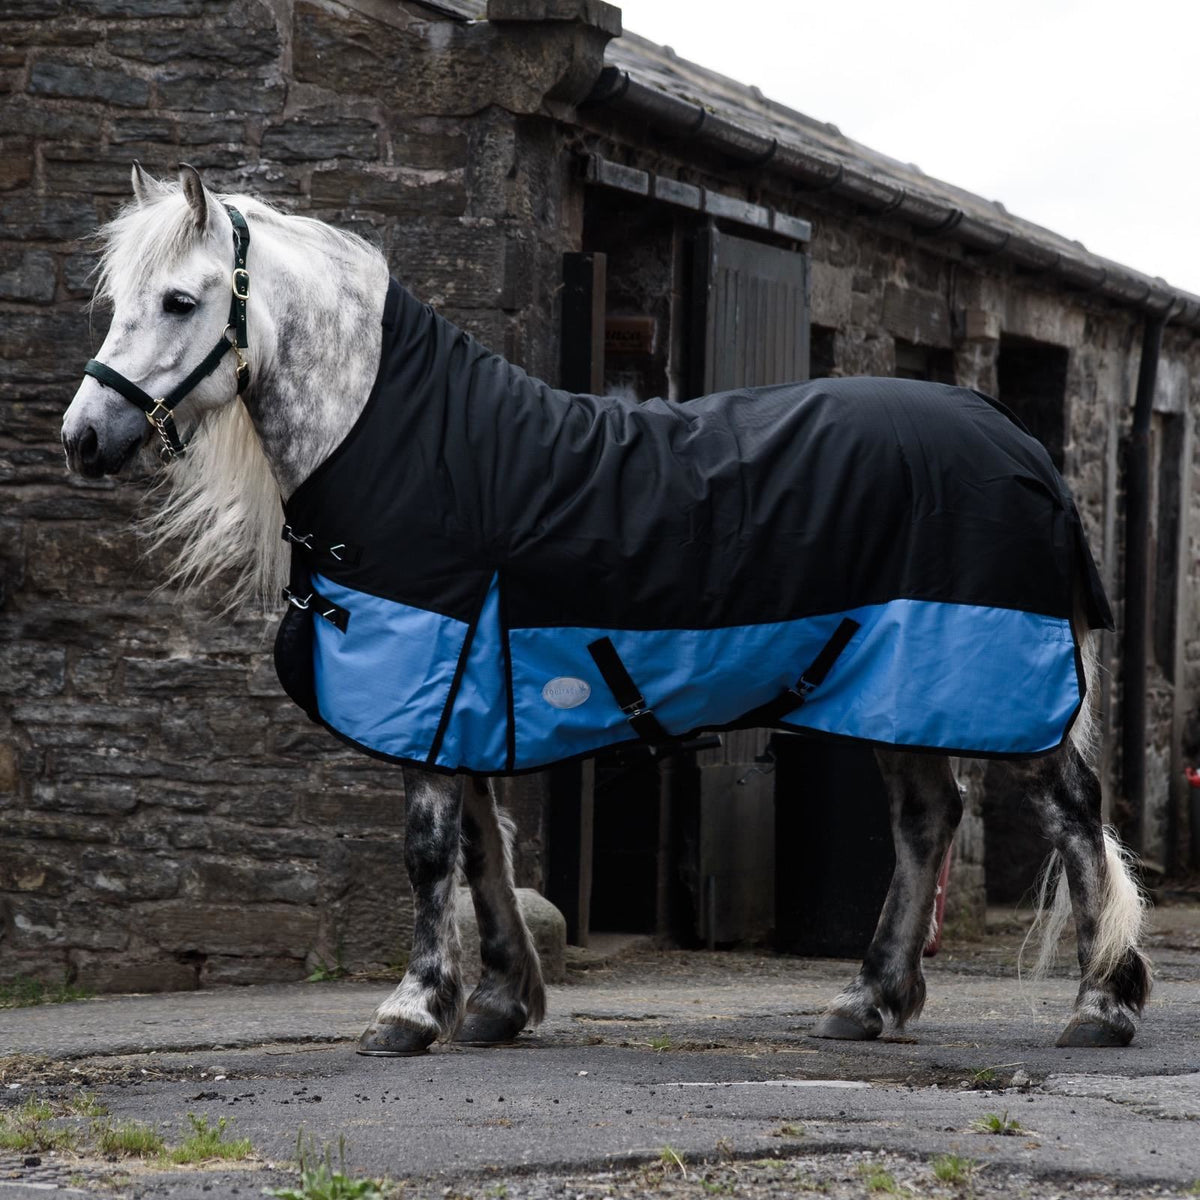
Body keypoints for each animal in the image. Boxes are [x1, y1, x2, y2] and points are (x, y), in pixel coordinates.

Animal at [60, 165, 1151, 1056]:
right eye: (114, 302)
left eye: (181, 299)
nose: (84, 437)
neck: (423, 444)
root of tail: (1016, 439)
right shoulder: (469, 690)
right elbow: (483, 847)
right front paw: (499, 1001)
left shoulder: (430, 681)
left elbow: (428, 852)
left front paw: (410, 1011)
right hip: (898, 683)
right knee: (928, 820)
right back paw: (870, 1000)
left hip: (987, 683)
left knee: (1071, 811)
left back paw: (1102, 1003)